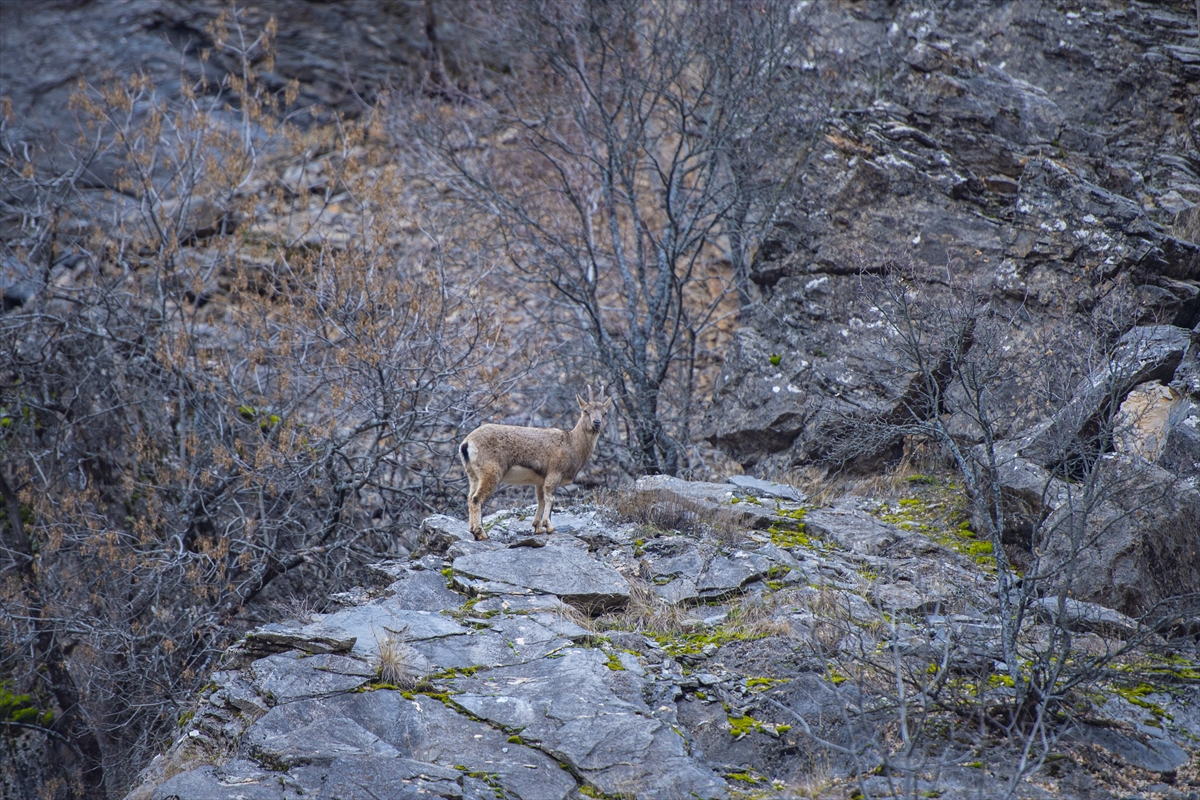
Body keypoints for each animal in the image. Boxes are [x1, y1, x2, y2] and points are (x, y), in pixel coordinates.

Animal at [456, 386, 614, 537]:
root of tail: (467, 443)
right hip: (491, 473)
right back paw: (481, 533)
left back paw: (473, 531)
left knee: (469, 497)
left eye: (605, 413)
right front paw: (549, 527)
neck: (572, 444)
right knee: (476, 499)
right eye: (585, 410)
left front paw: (537, 527)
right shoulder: (554, 473)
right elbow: (550, 497)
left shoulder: (540, 481)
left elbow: (541, 500)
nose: (597, 423)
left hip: (474, 476)